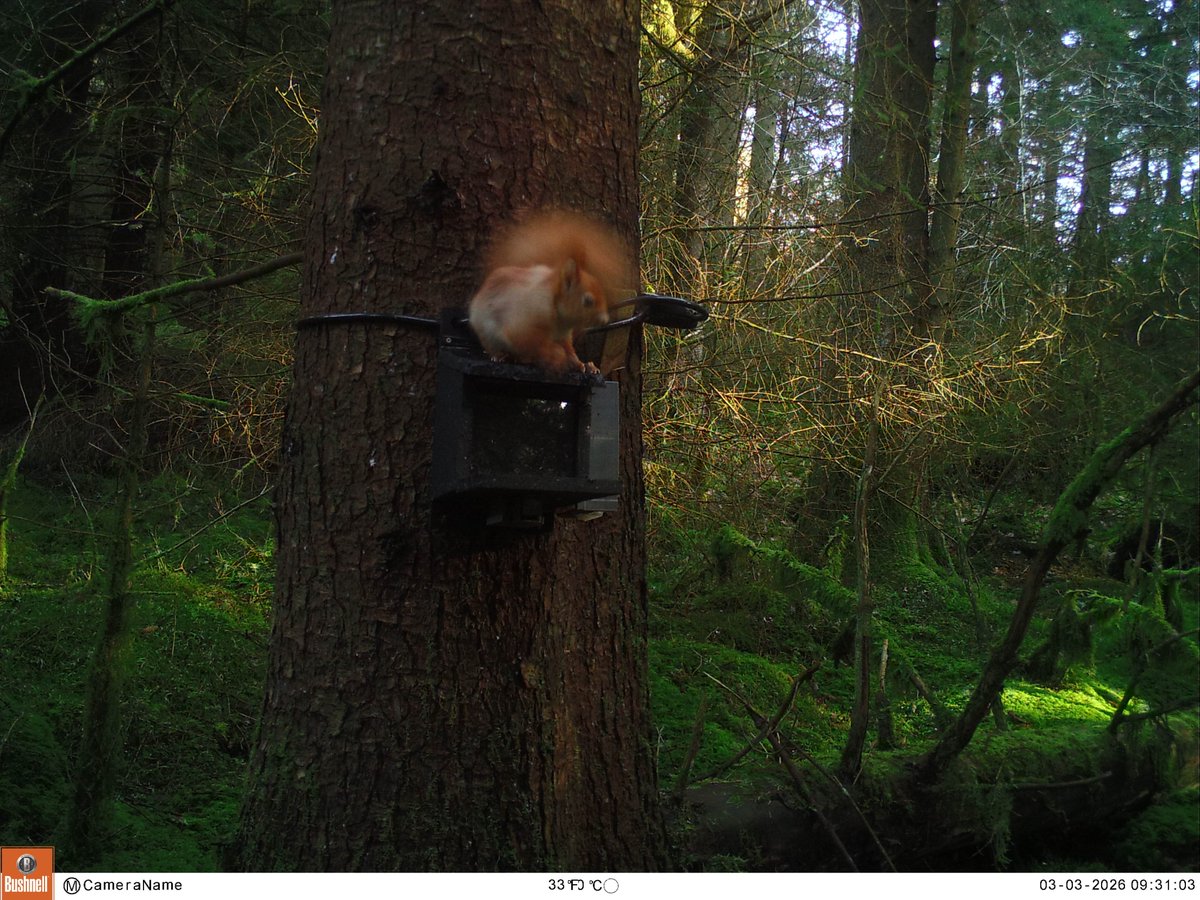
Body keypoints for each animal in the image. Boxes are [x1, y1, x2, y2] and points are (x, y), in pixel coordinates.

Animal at [467, 210, 633, 373]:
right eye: (588, 301)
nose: (604, 319)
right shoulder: (523, 326)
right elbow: (537, 344)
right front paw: (558, 357)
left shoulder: (564, 335)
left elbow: (568, 348)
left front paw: (578, 362)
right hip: (488, 333)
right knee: (496, 347)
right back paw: (501, 356)